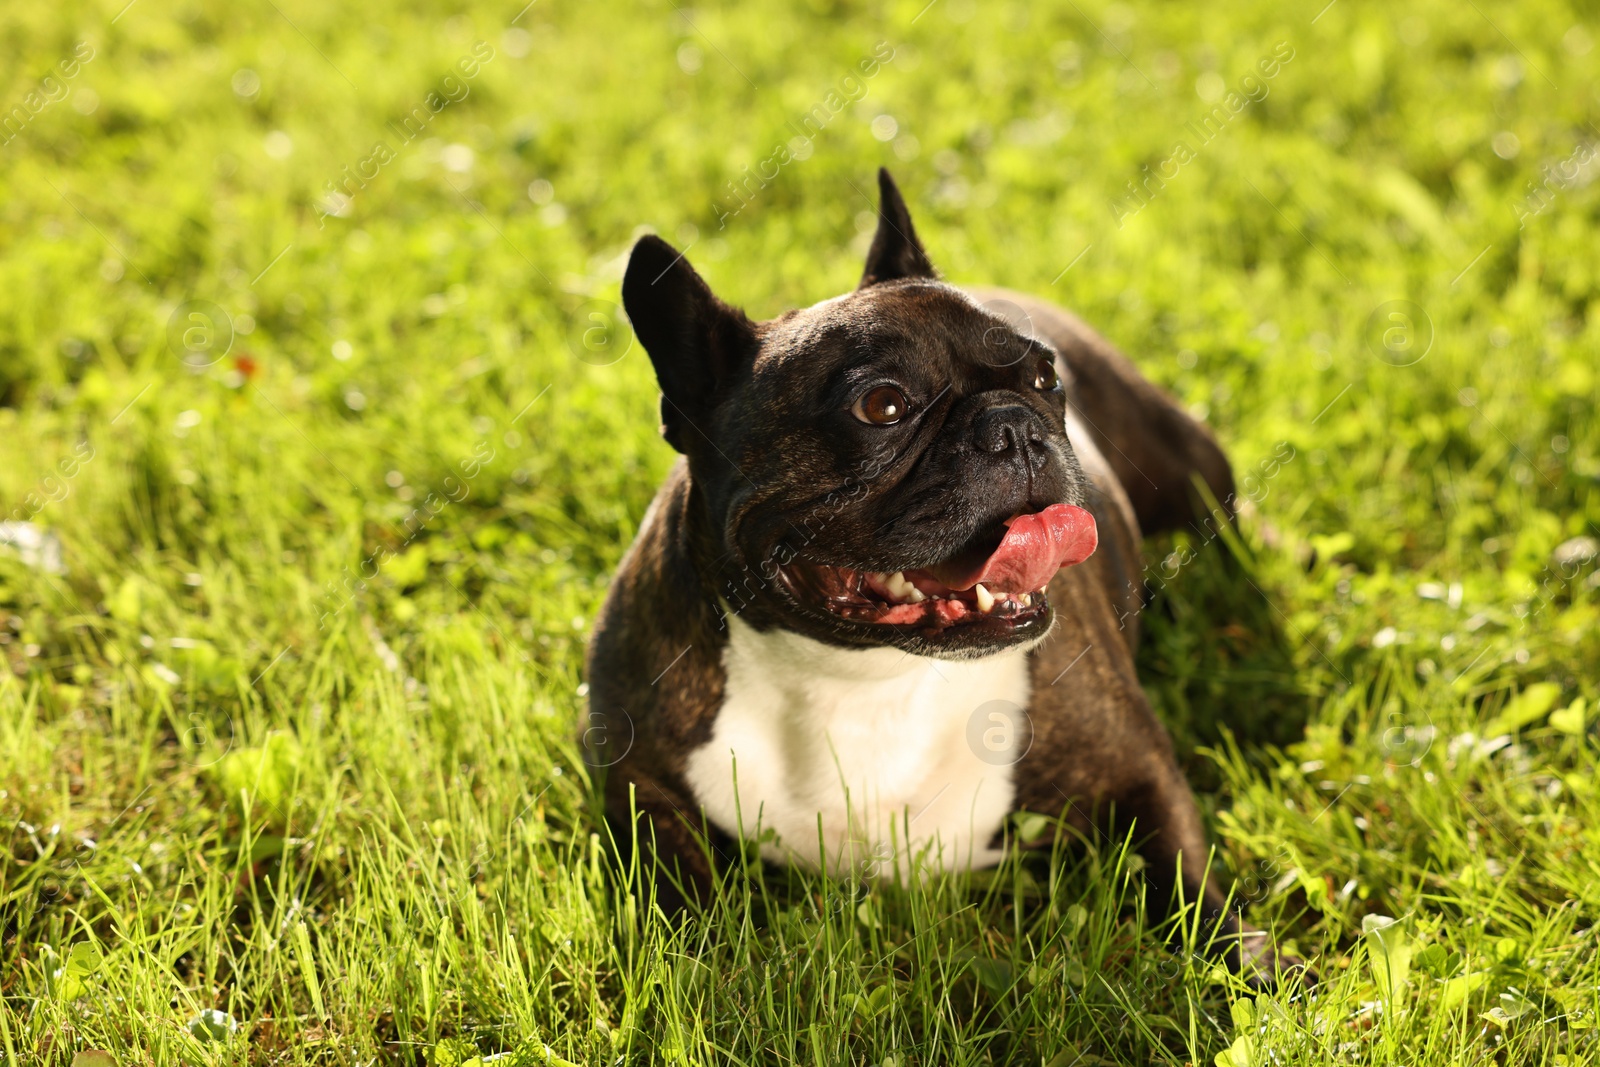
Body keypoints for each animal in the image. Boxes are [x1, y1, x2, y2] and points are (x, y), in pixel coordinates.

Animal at [588, 171, 1286, 979]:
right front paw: (701, 961)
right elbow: (675, 894)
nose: (1014, 422)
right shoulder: (641, 782)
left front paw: (1249, 963)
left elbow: (1185, 875)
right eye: (882, 405)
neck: (861, 677)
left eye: (1044, 376)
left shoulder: (1136, 765)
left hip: (1184, 462)